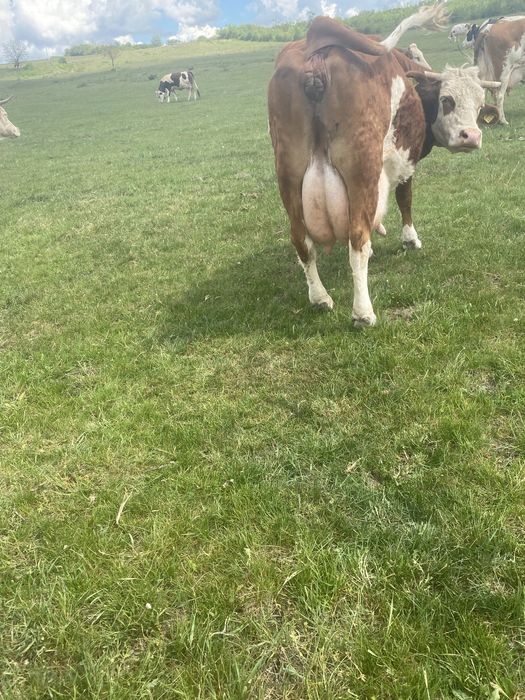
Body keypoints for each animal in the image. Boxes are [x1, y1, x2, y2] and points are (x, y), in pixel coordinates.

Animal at [268, 14, 500, 327]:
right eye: (447, 100)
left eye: (479, 105)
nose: (471, 137)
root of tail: (314, 50)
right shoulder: (406, 163)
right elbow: (405, 199)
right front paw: (410, 240)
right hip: (362, 168)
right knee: (357, 238)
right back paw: (363, 313)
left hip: (289, 171)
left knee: (301, 239)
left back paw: (320, 297)